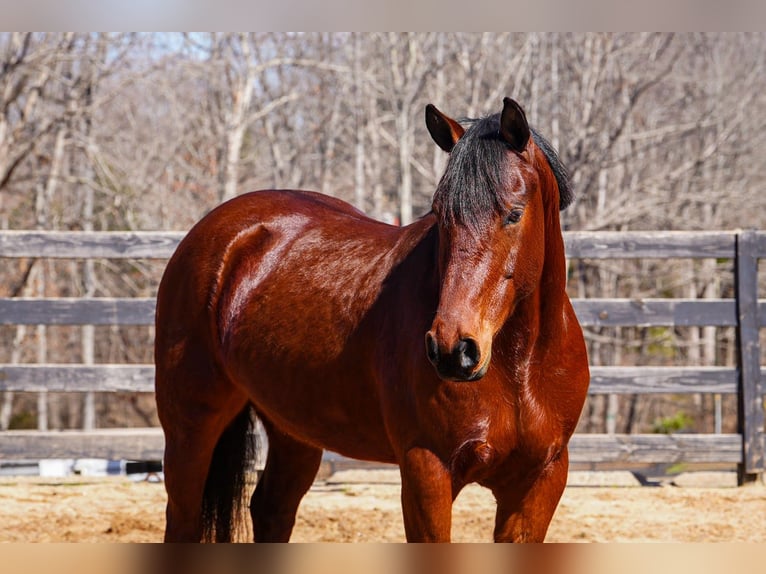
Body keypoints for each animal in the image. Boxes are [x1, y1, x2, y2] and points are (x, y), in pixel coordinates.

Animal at [154, 97, 589, 543]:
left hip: (293, 430)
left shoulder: (539, 481)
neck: (518, 366)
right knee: (183, 518)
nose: (453, 350)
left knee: (271, 508)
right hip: (191, 428)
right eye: (440, 214)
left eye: (514, 214)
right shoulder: (425, 471)